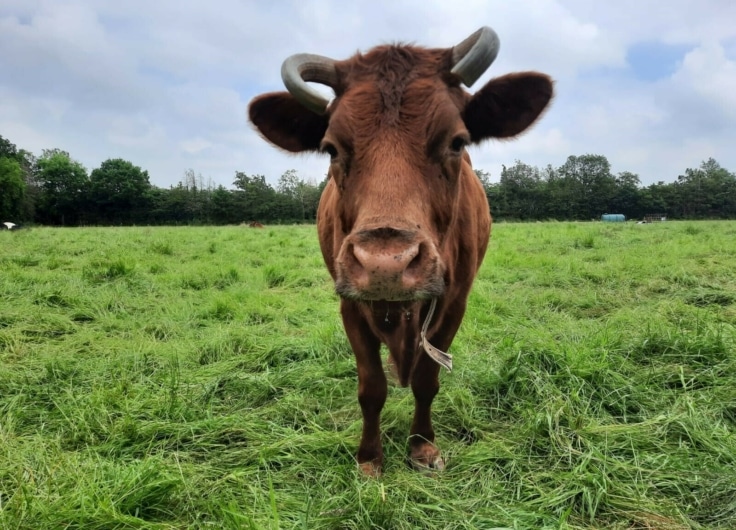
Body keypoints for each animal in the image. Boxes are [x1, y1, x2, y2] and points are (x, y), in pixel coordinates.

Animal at [249, 26, 552, 472]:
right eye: (331, 148)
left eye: (457, 142)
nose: (385, 266)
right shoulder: (350, 305)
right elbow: (371, 387)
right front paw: (369, 457)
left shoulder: (454, 304)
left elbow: (427, 381)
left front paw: (422, 446)